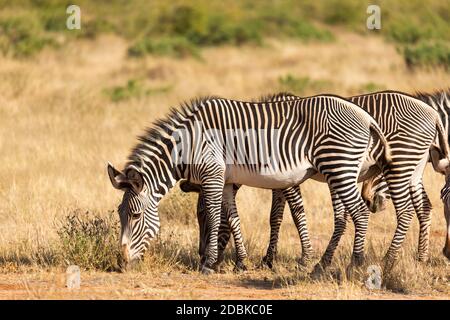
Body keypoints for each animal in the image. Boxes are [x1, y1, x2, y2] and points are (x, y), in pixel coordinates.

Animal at [106, 94, 390, 274]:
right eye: (120, 214)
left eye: (135, 215)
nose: (122, 263)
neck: (188, 144)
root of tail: (367, 117)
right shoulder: (226, 180)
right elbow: (233, 218)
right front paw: (241, 263)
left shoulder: (212, 175)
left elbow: (214, 216)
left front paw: (209, 264)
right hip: (342, 170)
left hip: (339, 166)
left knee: (360, 212)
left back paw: (355, 264)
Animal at [183, 90, 450, 272]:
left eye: (202, 216)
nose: (201, 256)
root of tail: (431, 113)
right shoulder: (279, 178)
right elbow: (275, 216)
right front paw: (269, 259)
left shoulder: (288, 178)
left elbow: (294, 213)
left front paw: (303, 258)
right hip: (411, 168)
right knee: (424, 208)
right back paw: (420, 258)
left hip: (397, 163)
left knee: (407, 210)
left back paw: (388, 259)